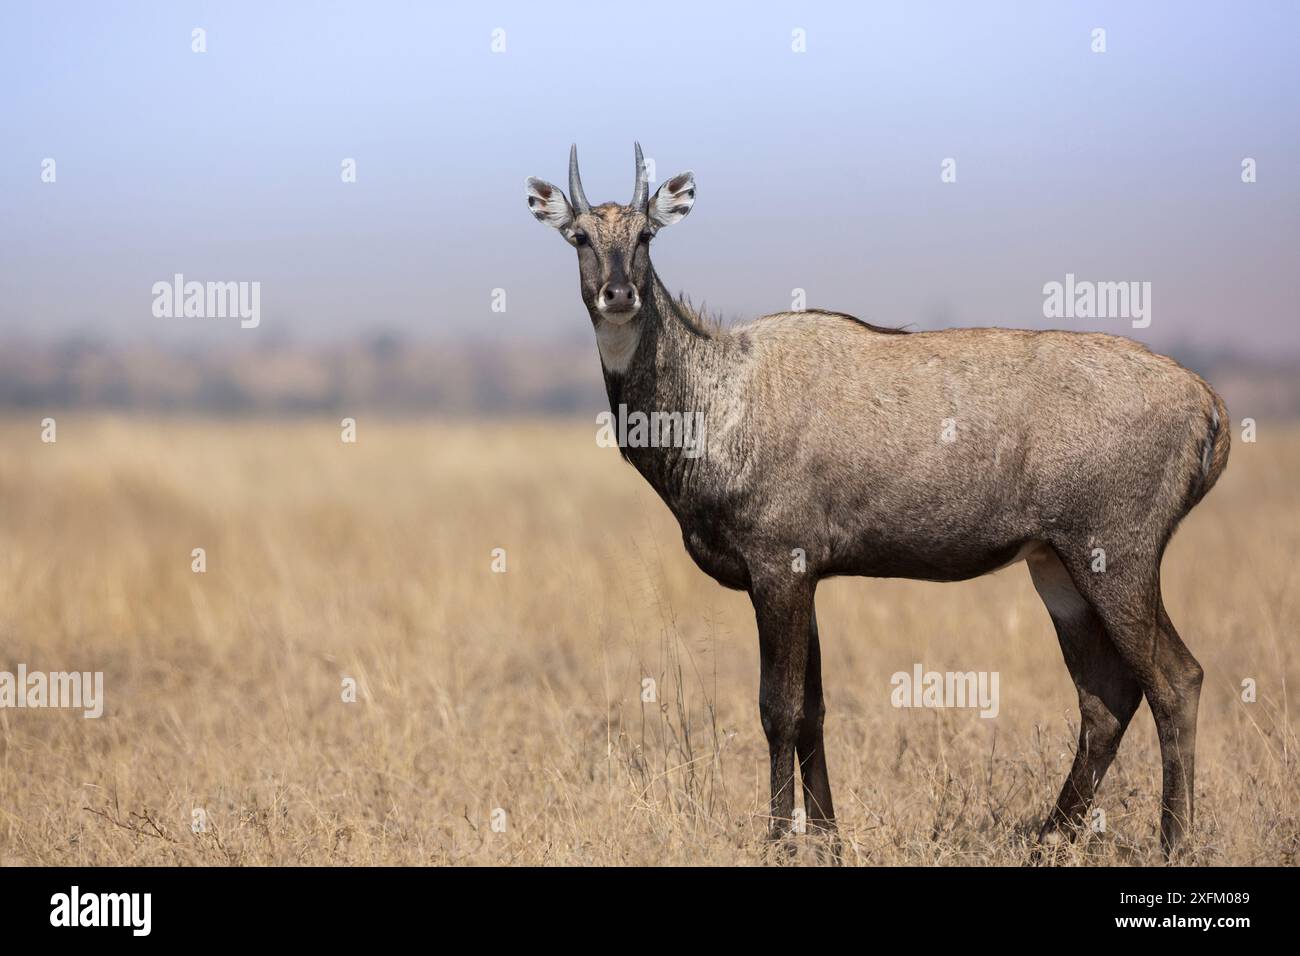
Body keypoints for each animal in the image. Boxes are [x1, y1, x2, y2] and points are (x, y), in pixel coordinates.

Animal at [525, 143, 1227, 858]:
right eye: (580, 236)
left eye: (646, 235)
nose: (618, 294)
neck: (718, 397)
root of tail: (1207, 403)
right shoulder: (803, 576)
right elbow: (813, 710)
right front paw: (828, 838)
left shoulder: (779, 568)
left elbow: (778, 709)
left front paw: (778, 840)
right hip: (1055, 566)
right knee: (1106, 697)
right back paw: (1044, 840)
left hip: (1114, 554)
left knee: (1176, 679)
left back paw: (1173, 843)